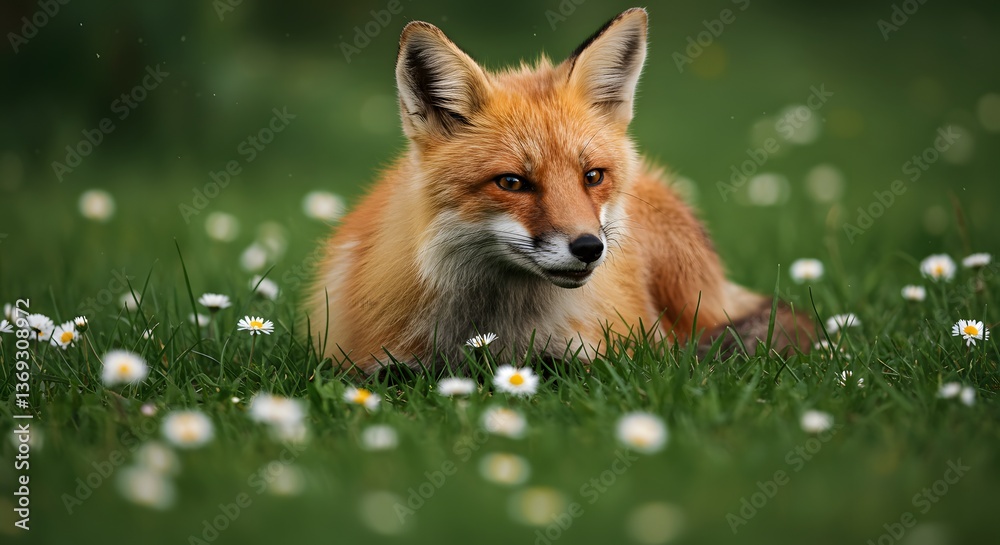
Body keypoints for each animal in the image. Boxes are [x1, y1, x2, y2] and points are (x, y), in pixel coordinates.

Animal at [307, 7, 814, 375]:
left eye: (592, 176)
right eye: (512, 182)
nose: (590, 248)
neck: (499, 329)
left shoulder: (618, 351)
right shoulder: (362, 363)